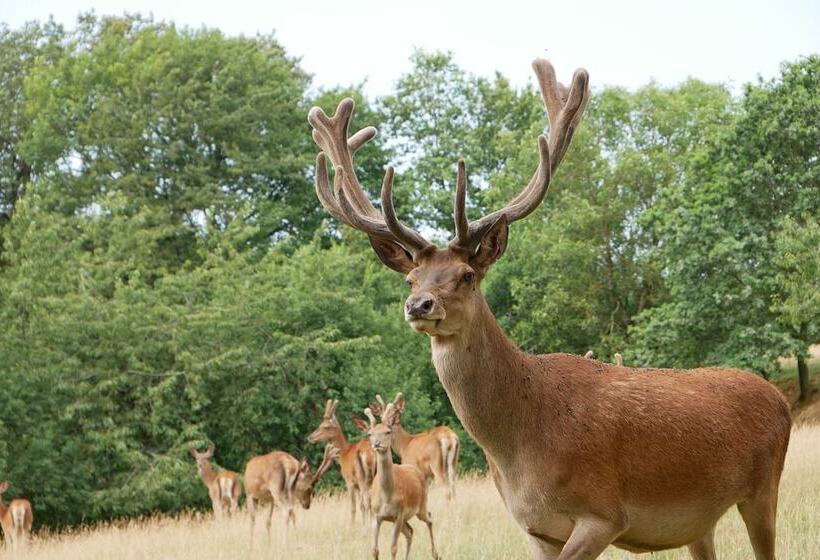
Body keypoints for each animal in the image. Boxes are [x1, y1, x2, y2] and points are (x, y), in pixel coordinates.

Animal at [364, 405, 440, 560]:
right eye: (369, 434)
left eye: (388, 431)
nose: (376, 444)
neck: (386, 495)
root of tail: (415, 470)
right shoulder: (376, 515)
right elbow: (374, 549)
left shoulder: (398, 513)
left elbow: (393, 548)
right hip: (404, 518)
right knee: (410, 531)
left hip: (421, 505)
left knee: (429, 518)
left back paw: (436, 554)